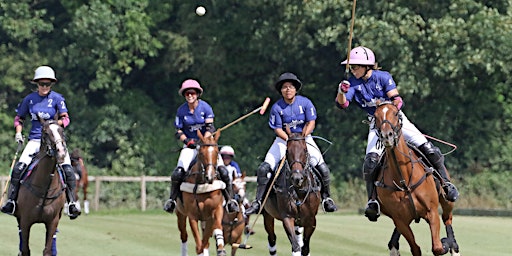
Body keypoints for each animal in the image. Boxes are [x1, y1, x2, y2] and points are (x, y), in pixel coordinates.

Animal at [14, 117, 68, 256]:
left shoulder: (53, 222)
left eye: (62, 131)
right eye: (46, 133)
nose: (61, 153)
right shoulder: (25, 221)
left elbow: (47, 250)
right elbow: (25, 249)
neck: (45, 188)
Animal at [372, 102, 460, 256]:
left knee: (447, 219)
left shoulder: (432, 212)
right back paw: (393, 247)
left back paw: (453, 246)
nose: (387, 136)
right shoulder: (400, 219)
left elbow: (437, 247)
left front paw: (445, 242)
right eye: (375, 116)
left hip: (446, 201)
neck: (404, 180)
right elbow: (415, 248)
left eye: (396, 113)